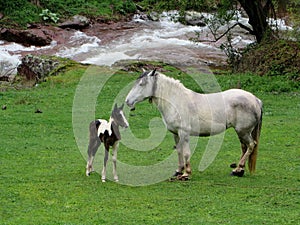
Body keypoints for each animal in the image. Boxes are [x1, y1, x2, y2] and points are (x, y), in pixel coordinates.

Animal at [125, 70, 262, 179]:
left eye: (142, 84)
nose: (128, 101)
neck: (176, 101)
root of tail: (256, 99)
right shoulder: (176, 133)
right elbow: (179, 151)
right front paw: (178, 171)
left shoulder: (184, 133)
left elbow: (186, 152)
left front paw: (186, 174)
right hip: (242, 133)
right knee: (244, 148)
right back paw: (239, 171)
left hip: (243, 132)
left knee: (251, 145)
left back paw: (238, 168)